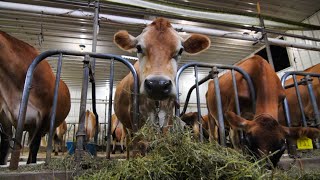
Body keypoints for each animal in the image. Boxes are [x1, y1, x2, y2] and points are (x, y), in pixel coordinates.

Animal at [114, 17, 211, 155]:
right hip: (125, 126)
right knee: (128, 143)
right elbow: (140, 146)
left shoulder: (168, 118)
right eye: (139, 47)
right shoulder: (136, 120)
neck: (156, 103)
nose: (157, 85)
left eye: (180, 50)